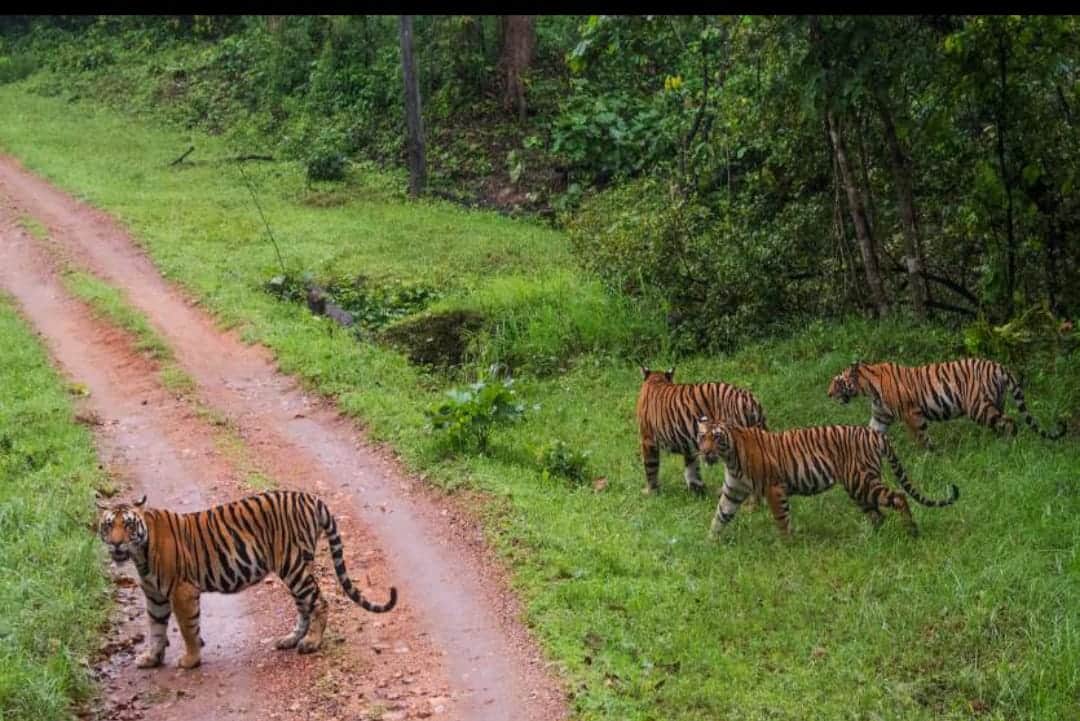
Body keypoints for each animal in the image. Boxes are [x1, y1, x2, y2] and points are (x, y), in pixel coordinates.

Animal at [97, 490, 397, 670]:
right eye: (109, 525)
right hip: (297, 568)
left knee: (319, 602)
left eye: (128, 525)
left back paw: (311, 642)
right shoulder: (155, 596)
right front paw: (151, 658)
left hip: (293, 565)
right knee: (305, 605)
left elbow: (187, 628)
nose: (116, 544)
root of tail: (310, 497)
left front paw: (191, 659)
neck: (141, 554)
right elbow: (156, 628)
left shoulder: (182, 591)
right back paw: (291, 639)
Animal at [637, 366, 767, 499]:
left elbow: (650, 468)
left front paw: (650, 492)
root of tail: (751, 401)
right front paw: (697, 490)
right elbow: (692, 469)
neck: (656, 380)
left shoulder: (647, 440)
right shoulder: (688, 444)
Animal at [696, 418, 959, 537]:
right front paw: (710, 542)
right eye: (702, 437)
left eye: (716, 437)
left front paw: (787, 544)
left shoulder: (774, 488)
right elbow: (720, 515)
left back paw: (911, 531)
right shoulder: (733, 490)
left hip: (861, 481)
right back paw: (870, 537)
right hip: (858, 486)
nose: (706, 452)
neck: (730, 458)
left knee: (899, 496)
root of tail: (875, 434)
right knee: (878, 513)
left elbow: (782, 518)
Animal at [827, 358, 1066, 449]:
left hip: (978, 407)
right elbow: (871, 432)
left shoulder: (911, 413)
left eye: (838, 382)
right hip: (995, 402)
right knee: (1001, 421)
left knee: (1009, 422)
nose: (828, 394)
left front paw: (930, 455)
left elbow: (920, 436)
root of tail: (998, 365)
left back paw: (1008, 444)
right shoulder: (880, 416)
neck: (869, 388)